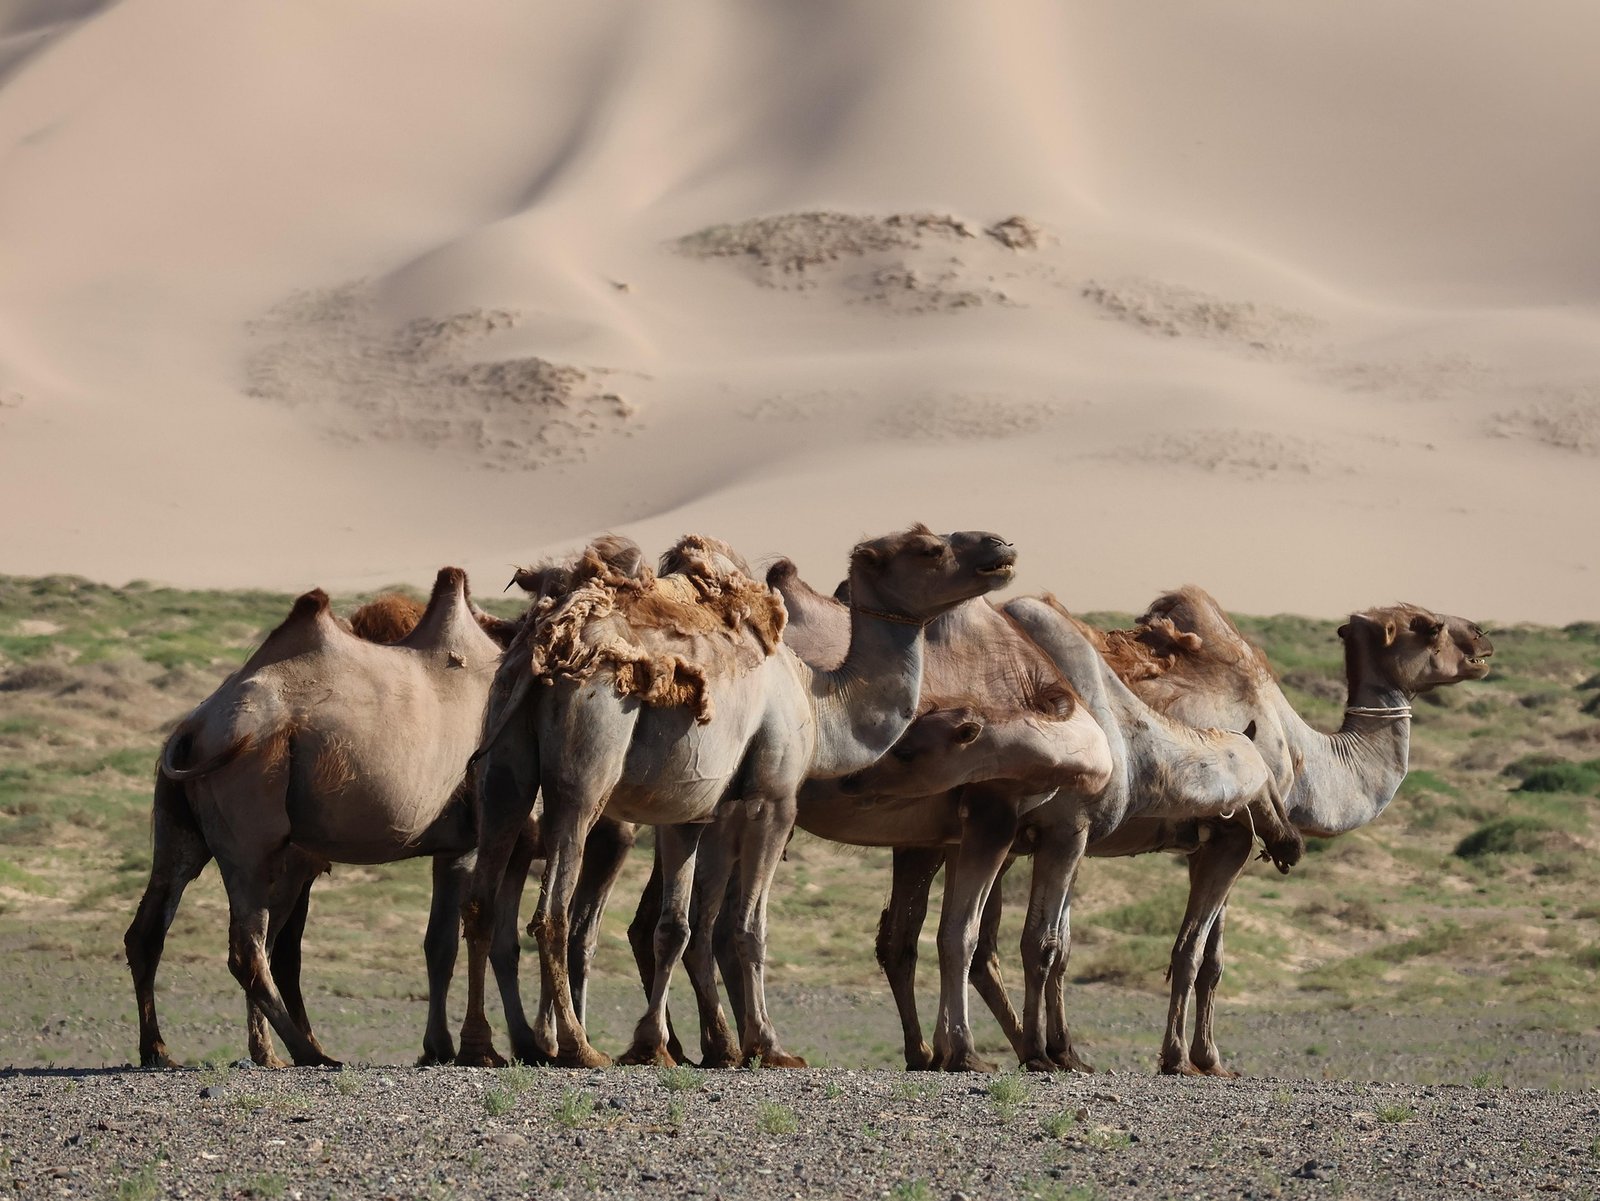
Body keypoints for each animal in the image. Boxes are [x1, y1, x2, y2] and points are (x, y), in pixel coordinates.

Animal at [124, 569, 555, 1068]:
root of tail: (194, 729)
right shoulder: (473, 838)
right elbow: (456, 939)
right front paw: (473, 1049)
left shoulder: (452, 843)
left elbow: (438, 943)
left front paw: (439, 1048)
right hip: (251, 832)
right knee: (249, 948)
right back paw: (306, 1052)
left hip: (182, 825)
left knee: (152, 928)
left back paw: (162, 1050)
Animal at [453, 525, 1024, 1069]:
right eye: (927, 548)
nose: (1001, 547)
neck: (818, 702)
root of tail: (546, 648)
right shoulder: (773, 799)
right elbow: (746, 927)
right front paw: (766, 1046)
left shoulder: (693, 810)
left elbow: (677, 927)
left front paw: (665, 1046)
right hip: (588, 761)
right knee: (554, 909)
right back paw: (576, 1047)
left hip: (503, 769)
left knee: (482, 899)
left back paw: (481, 1046)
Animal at [763, 573, 1292, 1072]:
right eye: (1271, 783)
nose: (1288, 843)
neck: (1123, 739)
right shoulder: (1064, 829)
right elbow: (1038, 944)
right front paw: (1041, 1052)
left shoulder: (1016, 837)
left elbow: (1032, 946)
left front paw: (1060, 1052)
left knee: (899, 938)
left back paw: (919, 1052)